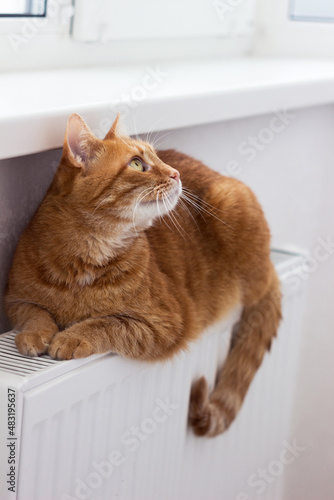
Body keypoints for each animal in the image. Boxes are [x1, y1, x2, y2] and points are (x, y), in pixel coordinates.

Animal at [5, 114, 282, 438]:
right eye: (137, 164)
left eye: (157, 157)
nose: (175, 173)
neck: (83, 262)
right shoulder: (15, 300)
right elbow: (35, 314)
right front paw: (35, 334)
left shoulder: (166, 323)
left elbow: (108, 323)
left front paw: (72, 336)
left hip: (232, 206)